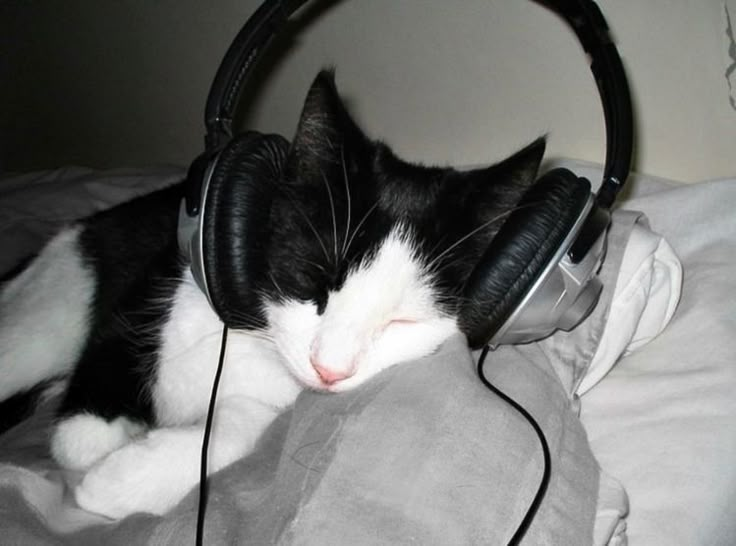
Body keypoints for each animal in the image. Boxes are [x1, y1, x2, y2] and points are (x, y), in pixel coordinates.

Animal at [0, 70, 548, 516]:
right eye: (311, 280)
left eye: (403, 321)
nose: (329, 370)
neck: (251, 342)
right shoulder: (152, 287)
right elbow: (79, 439)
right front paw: (105, 451)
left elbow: (240, 434)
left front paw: (124, 480)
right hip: (46, 312)